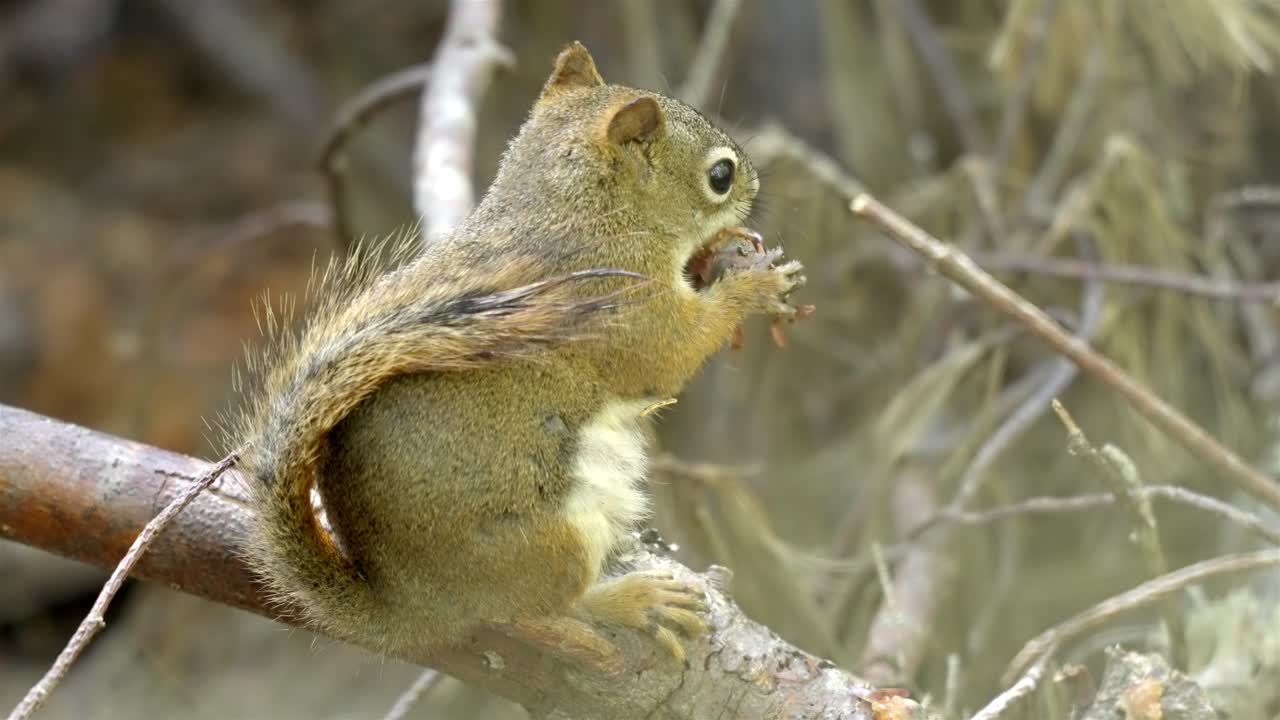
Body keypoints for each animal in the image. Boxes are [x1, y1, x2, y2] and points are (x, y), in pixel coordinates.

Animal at [230, 42, 806, 666]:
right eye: (720, 176)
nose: (756, 189)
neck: (589, 208)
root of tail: (408, 608)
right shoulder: (621, 301)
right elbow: (668, 356)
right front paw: (753, 287)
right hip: (549, 543)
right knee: (547, 609)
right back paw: (632, 602)